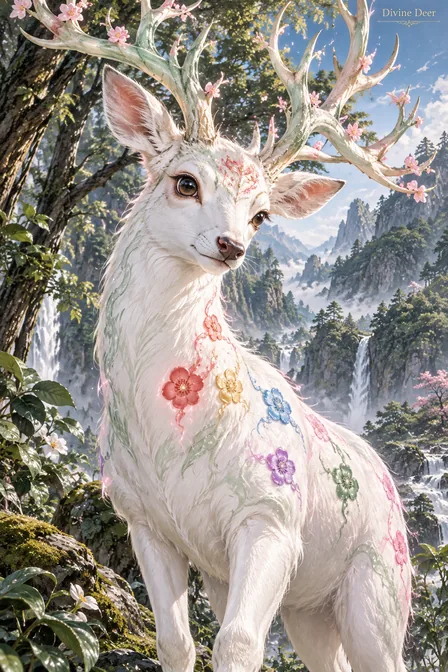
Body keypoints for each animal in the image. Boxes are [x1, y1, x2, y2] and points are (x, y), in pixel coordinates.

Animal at [23, 0, 435, 670]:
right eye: (184, 181)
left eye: (262, 213)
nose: (232, 245)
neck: (171, 439)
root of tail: (386, 478)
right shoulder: (146, 521)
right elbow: (176, 641)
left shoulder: (271, 516)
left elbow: (238, 643)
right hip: (306, 608)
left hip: (380, 583)